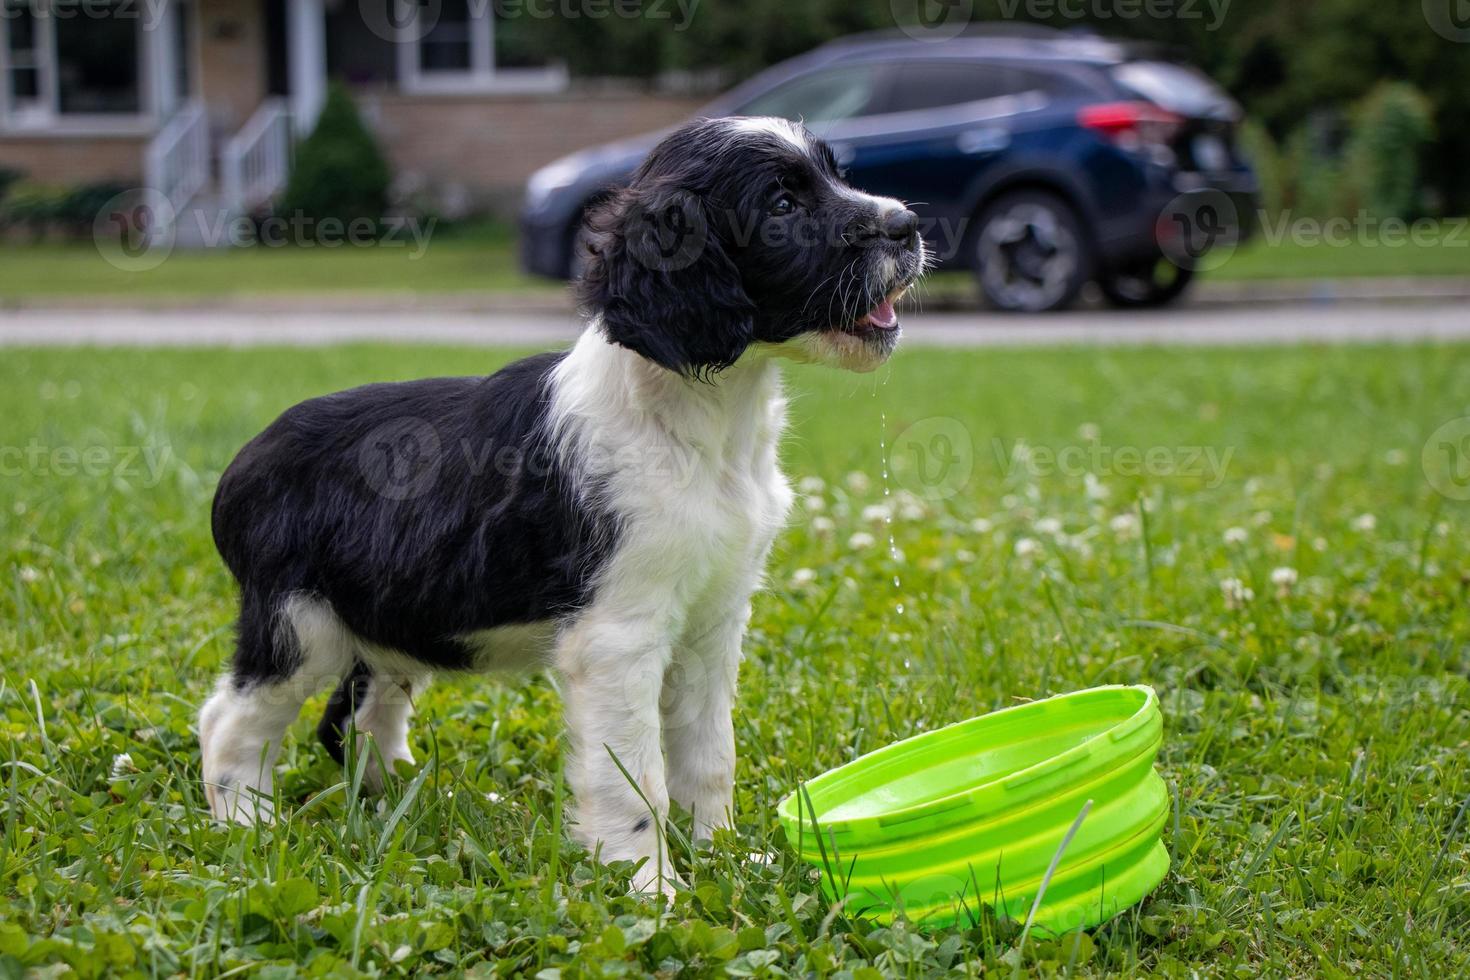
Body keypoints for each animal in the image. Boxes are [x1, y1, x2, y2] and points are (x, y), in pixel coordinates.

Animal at [201, 115, 923, 887]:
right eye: (783, 206)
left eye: (835, 176)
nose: (908, 225)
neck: (701, 420)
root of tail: (244, 461)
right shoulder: (618, 638)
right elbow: (635, 778)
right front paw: (650, 884)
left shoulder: (713, 623)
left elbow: (709, 753)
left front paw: (725, 855)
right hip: (299, 624)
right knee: (229, 721)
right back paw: (247, 828)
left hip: (390, 616)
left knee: (357, 719)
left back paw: (405, 798)